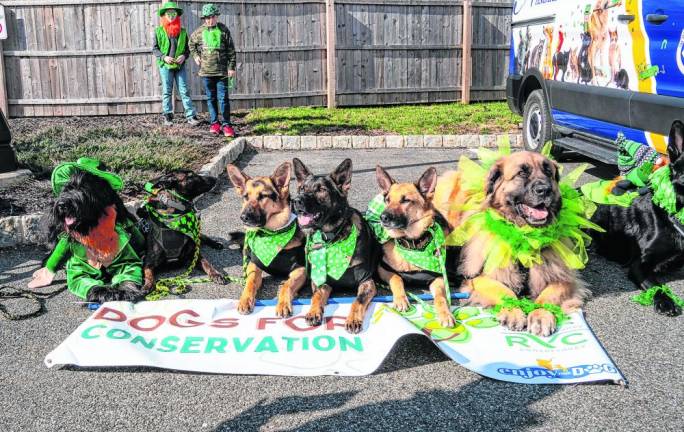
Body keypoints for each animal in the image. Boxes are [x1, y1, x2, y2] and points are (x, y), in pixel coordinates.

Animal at [292, 157, 382, 332]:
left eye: (321, 190)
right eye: (302, 188)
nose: (296, 201)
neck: (331, 238)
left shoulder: (367, 282)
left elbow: (357, 301)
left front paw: (353, 319)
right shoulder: (321, 281)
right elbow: (317, 295)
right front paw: (314, 311)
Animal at [440, 152, 592, 338]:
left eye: (548, 172)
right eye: (521, 173)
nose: (545, 190)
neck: (524, 238)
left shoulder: (565, 279)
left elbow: (548, 295)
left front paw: (540, 315)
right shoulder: (477, 277)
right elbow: (503, 290)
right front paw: (513, 311)